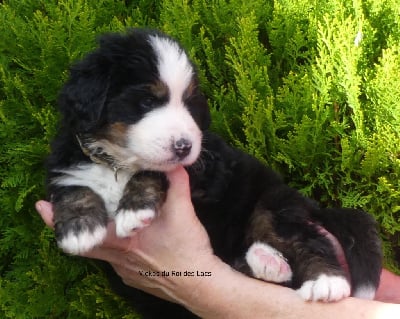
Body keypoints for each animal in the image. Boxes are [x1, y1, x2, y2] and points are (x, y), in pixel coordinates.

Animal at [46, 28, 382, 318]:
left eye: (188, 104)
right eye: (147, 101)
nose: (184, 146)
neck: (116, 163)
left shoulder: (204, 169)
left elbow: (155, 171)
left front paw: (134, 209)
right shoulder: (67, 163)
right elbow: (73, 188)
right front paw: (79, 229)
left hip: (270, 204)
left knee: (306, 240)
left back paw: (325, 281)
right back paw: (268, 262)